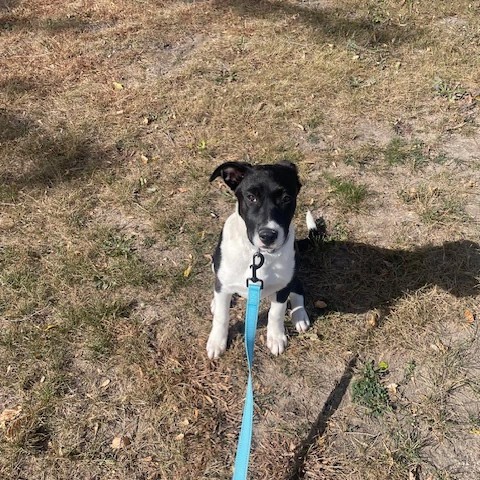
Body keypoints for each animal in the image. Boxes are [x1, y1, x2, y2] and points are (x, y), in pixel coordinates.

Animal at [206, 159, 316, 358]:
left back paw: (299, 315)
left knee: (298, 288)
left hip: (293, 274)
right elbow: (222, 316)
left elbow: (276, 313)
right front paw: (217, 342)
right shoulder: (223, 280)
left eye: (286, 198)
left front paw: (276, 337)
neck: (259, 255)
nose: (268, 235)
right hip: (214, 263)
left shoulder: (283, 287)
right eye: (251, 197)